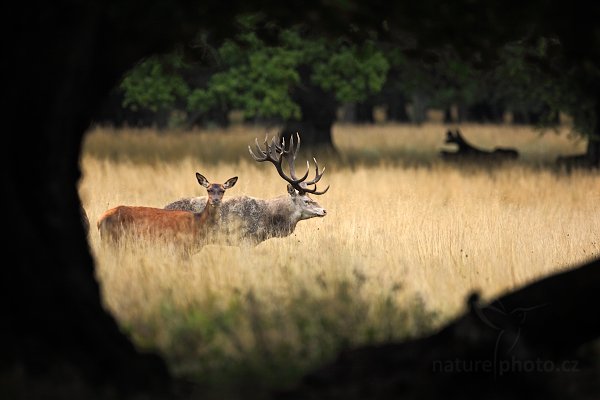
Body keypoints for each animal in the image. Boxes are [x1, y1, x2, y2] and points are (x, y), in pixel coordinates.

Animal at [96, 173, 237, 253]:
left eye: (223, 190)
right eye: (208, 189)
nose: (215, 200)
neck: (198, 223)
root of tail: (99, 220)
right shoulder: (180, 248)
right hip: (111, 241)